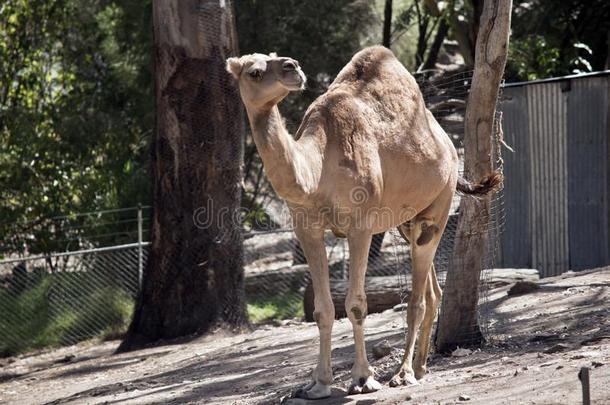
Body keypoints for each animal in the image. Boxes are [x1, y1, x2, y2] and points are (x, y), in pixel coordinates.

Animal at [226, 46, 496, 398]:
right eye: (254, 72)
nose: (292, 67)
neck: (317, 170)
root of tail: (450, 147)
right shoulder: (306, 227)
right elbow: (323, 309)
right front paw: (318, 384)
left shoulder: (361, 225)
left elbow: (355, 304)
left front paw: (363, 378)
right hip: (406, 222)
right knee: (431, 290)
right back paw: (421, 367)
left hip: (440, 203)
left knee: (417, 298)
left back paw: (403, 373)